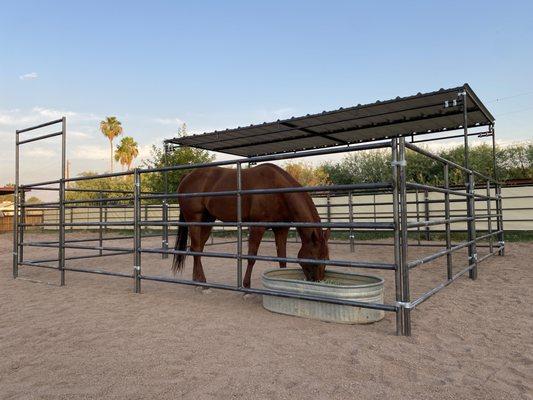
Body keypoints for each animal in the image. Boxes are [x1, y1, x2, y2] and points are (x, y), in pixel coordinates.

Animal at [171, 162, 328, 288]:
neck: (277, 189)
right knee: (196, 248)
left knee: (197, 249)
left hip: (207, 220)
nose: (317, 282)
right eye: (315, 261)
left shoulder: (281, 229)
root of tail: (187, 176)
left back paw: (197, 280)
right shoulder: (258, 226)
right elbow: (252, 256)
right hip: (194, 219)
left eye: (326, 260)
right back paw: (203, 284)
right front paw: (246, 286)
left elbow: (281, 257)